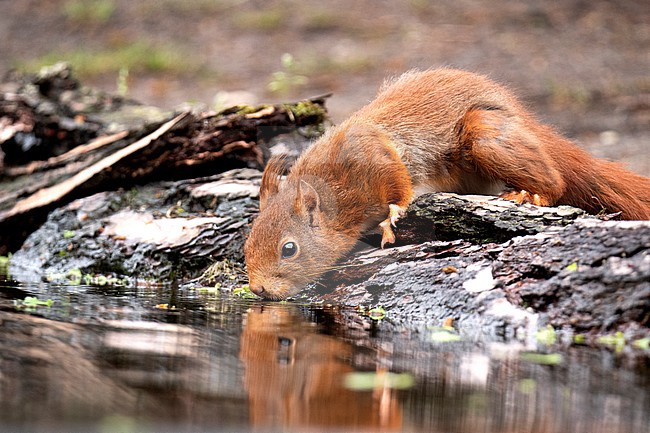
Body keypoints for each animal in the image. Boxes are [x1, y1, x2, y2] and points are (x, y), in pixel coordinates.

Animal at [244, 68, 650, 300]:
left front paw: (392, 216)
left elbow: (398, 182)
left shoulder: (372, 153)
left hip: (486, 136)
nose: (257, 289)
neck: (334, 193)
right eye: (247, 245)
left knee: (554, 179)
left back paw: (532, 193)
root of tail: (522, 118)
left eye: (289, 249)